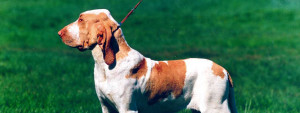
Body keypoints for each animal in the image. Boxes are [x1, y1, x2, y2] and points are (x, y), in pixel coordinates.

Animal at [58, 9, 237, 113]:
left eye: (81, 20)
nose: (59, 33)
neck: (105, 67)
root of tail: (223, 70)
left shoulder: (127, 109)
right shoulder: (106, 107)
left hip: (215, 108)